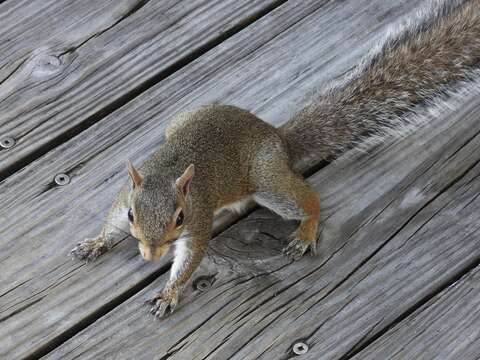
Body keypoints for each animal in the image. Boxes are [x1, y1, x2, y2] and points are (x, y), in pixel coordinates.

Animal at [71, 1, 480, 318]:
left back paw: (305, 231)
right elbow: (109, 222)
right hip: (182, 121)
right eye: (132, 215)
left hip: (267, 182)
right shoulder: (124, 194)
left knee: (308, 200)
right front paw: (95, 243)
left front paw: (170, 292)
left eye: (180, 218)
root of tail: (278, 138)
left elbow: (190, 259)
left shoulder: (200, 218)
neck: (166, 172)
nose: (151, 256)